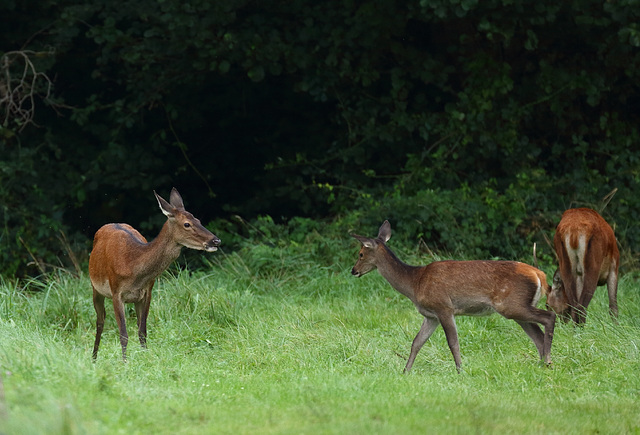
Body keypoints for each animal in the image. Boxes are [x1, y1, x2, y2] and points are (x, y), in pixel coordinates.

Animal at [89, 187, 221, 362]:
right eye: (187, 224)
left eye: (199, 220)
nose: (216, 241)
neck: (132, 266)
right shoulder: (116, 291)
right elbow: (123, 334)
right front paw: (125, 363)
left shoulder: (147, 292)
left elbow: (142, 331)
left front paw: (146, 359)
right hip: (95, 288)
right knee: (100, 321)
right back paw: (94, 358)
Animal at [350, 221, 556, 374]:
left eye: (360, 254)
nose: (353, 270)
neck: (415, 283)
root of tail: (540, 275)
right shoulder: (430, 315)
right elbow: (417, 342)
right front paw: (405, 371)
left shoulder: (444, 307)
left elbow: (453, 343)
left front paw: (460, 371)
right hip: (517, 308)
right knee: (537, 334)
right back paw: (542, 364)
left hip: (511, 304)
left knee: (549, 317)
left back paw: (547, 361)